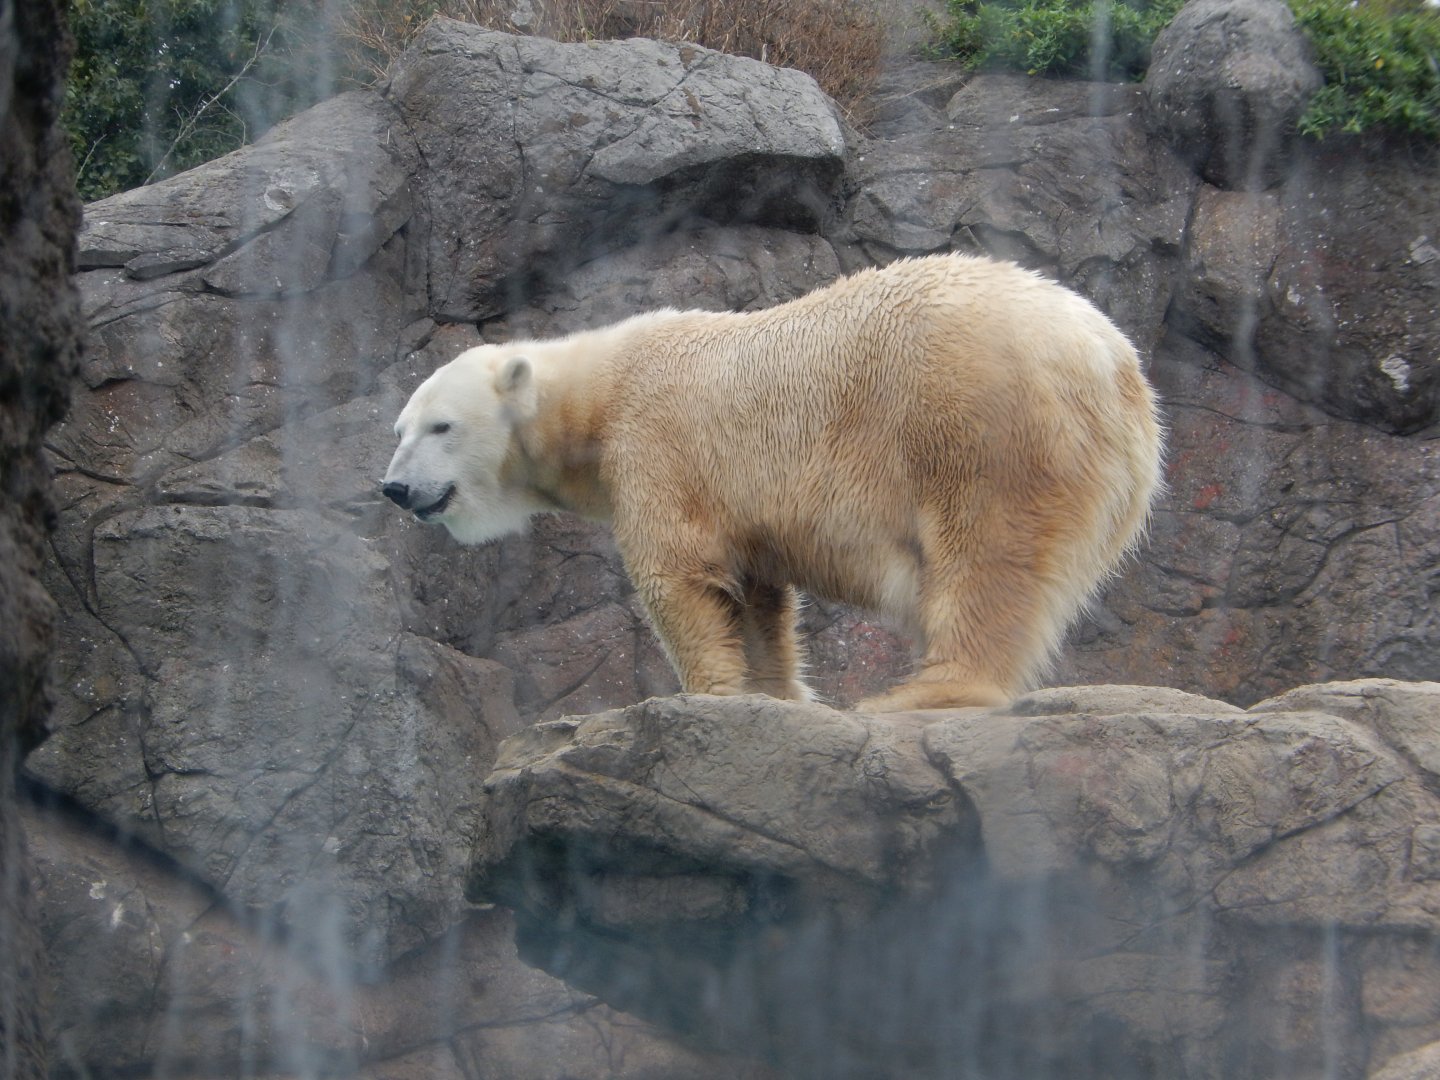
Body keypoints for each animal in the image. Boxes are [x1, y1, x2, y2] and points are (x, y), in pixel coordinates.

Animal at [382, 254, 1163, 711]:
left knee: (983, 552)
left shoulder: (657, 447)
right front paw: (776, 693)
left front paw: (709, 693)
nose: (394, 490)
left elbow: (676, 576)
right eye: (399, 428)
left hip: (976, 418)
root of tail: (1112, 361)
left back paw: (925, 691)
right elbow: (756, 598)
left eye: (441, 427)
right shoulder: (738, 506)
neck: (595, 396)